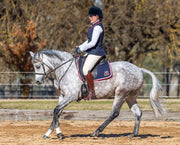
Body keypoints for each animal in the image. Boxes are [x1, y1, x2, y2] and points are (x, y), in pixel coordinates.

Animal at [29, 49, 166, 138]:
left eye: (38, 66)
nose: (37, 81)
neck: (64, 69)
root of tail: (138, 69)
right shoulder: (62, 96)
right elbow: (57, 112)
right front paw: (49, 133)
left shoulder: (71, 96)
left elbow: (56, 110)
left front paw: (58, 134)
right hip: (130, 97)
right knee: (137, 113)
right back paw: (133, 134)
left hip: (120, 94)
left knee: (114, 113)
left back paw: (96, 132)